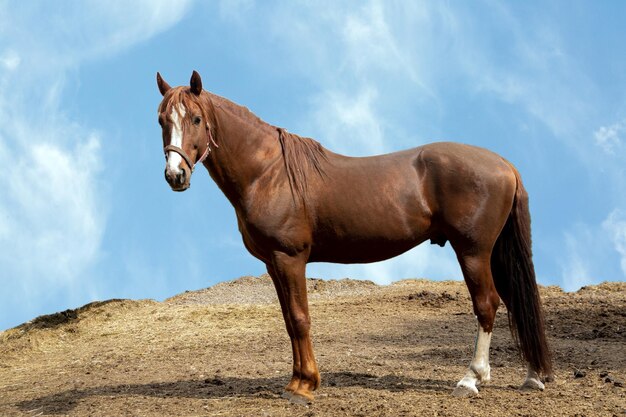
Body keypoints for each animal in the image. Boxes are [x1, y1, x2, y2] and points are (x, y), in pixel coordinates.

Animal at [156, 70, 552, 404]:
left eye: (195, 119)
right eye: (162, 120)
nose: (175, 175)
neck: (268, 173)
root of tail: (504, 164)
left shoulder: (290, 258)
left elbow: (300, 318)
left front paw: (305, 386)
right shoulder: (274, 264)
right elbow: (289, 322)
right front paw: (296, 381)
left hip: (472, 250)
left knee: (487, 303)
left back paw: (471, 379)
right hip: (493, 252)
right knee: (516, 301)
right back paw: (532, 376)